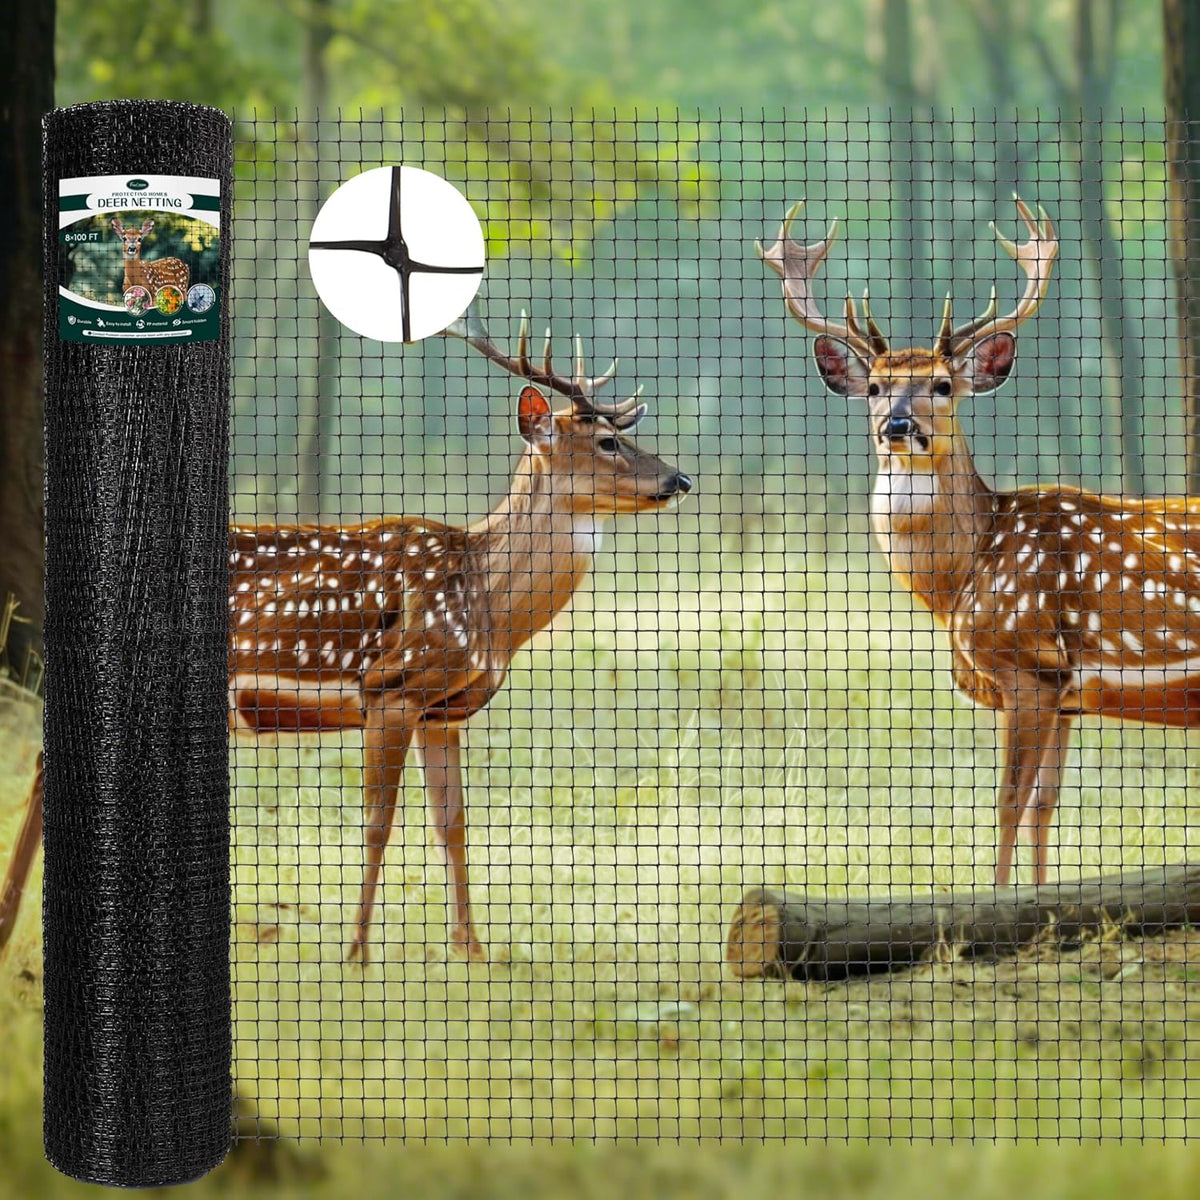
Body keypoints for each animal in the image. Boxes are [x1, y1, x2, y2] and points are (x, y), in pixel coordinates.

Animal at [228, 311, 692, 962]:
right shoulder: (390, 687)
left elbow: (452, 824)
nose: (680, 479)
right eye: (607, 442)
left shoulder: (441, 712)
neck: (488, 610)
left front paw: (471, 951)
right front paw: (357, 956)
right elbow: (378, 823)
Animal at [761, 195, 1200, 890]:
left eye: (943, 385)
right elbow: (1045, 805)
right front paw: (1039, 899)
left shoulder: (1027, 664)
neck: (962, 577)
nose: (897, 425)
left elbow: (1007, 802)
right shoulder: (1065, 691)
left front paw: (994, 900)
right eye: (876, 385)